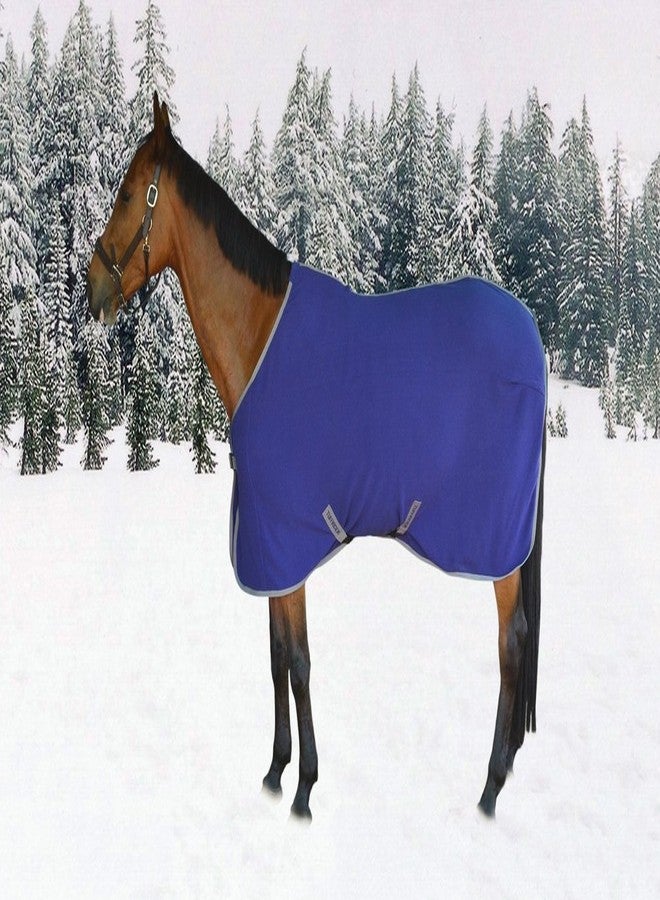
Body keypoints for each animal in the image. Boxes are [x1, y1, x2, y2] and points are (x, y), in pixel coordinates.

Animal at [87, 93, 546, 821]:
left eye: (130, 193)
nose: (93, 288)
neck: (258, 336)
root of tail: (533, 339)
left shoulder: (287, 536)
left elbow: (299, 660)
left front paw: (304, 789)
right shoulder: (270, 544)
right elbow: (277, 655)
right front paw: (276, 771)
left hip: (496, 543)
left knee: (512, 642)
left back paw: (490, 788)